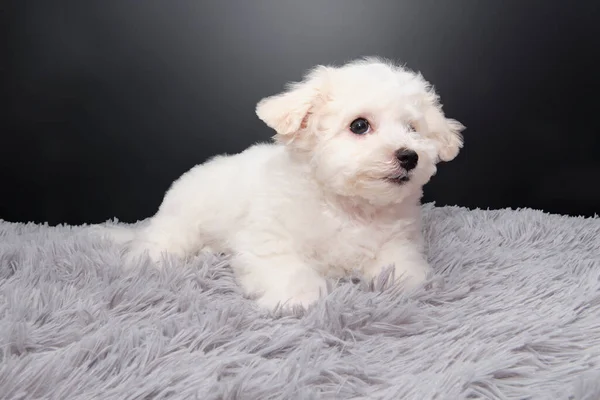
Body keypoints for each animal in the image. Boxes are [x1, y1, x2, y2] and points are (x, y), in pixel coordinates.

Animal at [120, 57, 464, 310]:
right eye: (359, 125)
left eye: (413, 129)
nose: (409, 156)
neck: (346, 206)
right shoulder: (268, 237)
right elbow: (286, 267)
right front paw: (300, 298)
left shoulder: (397, 239)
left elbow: (400, 264)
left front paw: (410, 280)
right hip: (181, 225)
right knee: (158, 242)